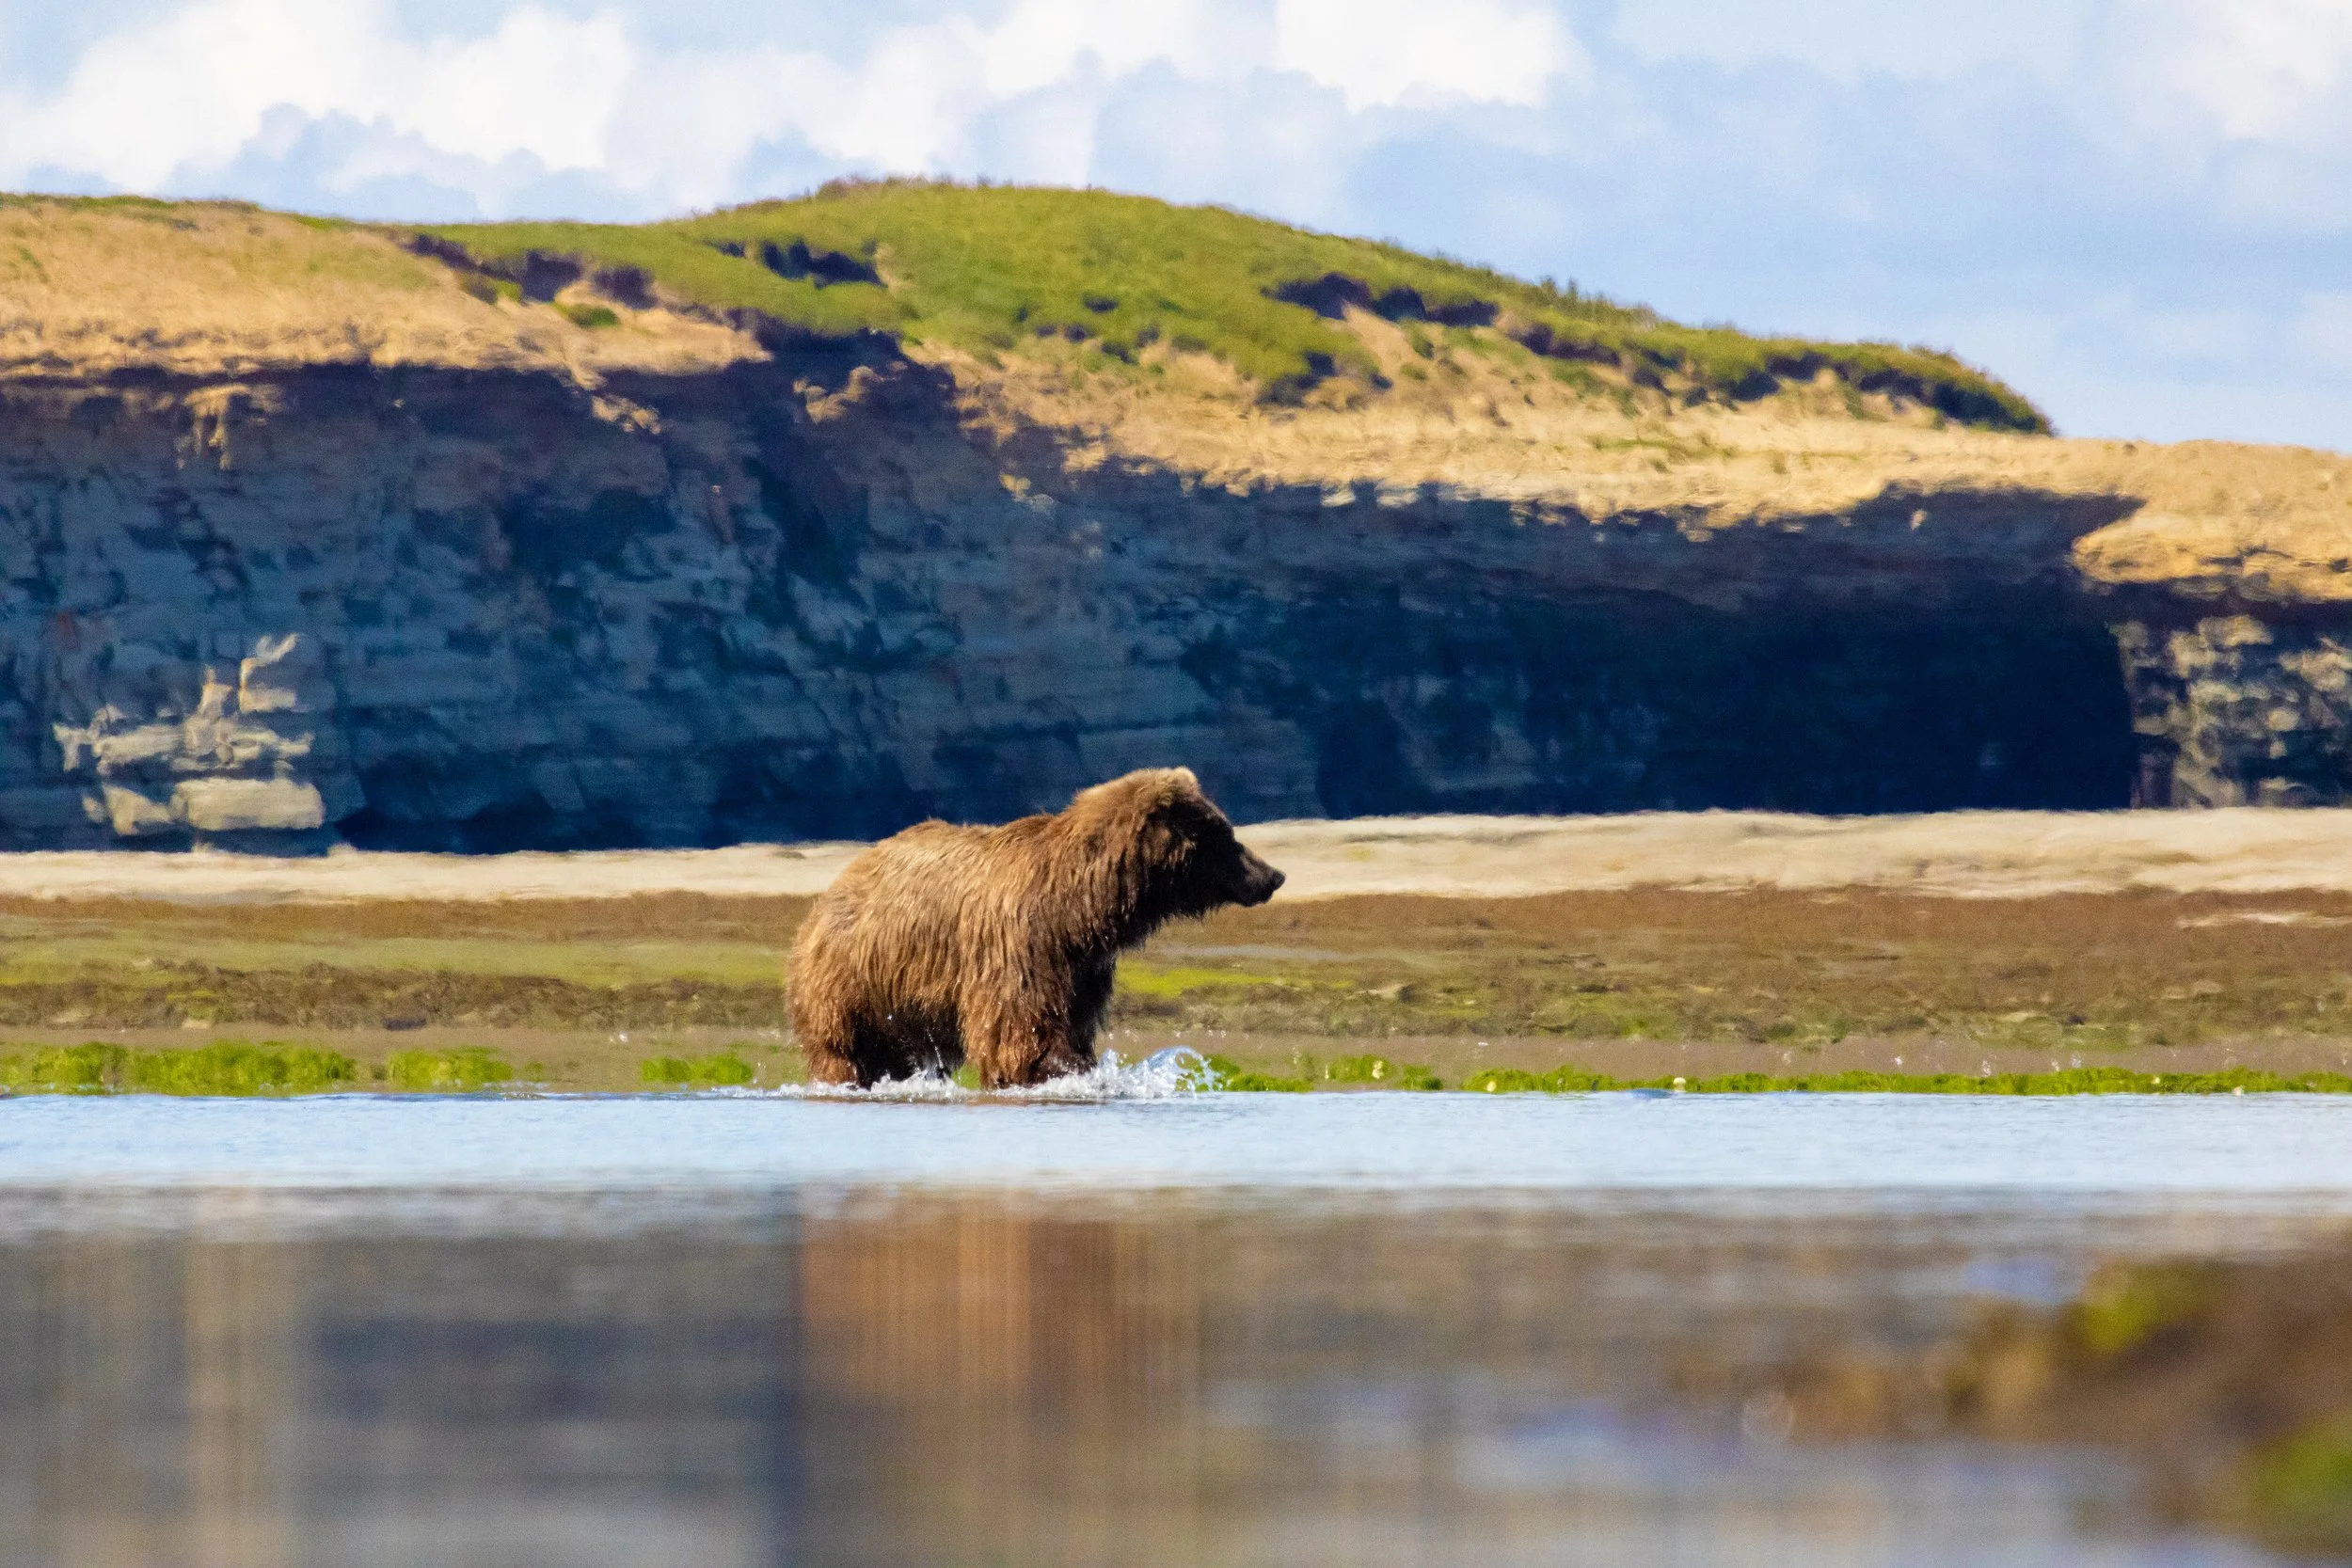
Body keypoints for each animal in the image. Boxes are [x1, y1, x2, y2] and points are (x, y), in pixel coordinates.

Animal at [789, 767, 1285, 1089]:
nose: (1273, 876)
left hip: (901, 995)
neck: (1078, 908)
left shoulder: (1081, 968)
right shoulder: (1022, 948)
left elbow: (1072, 1023)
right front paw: (1056, 1071)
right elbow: (1025, 1032)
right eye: (1224, 834)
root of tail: (833, 887)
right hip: (852, 980)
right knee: (846, 1049)